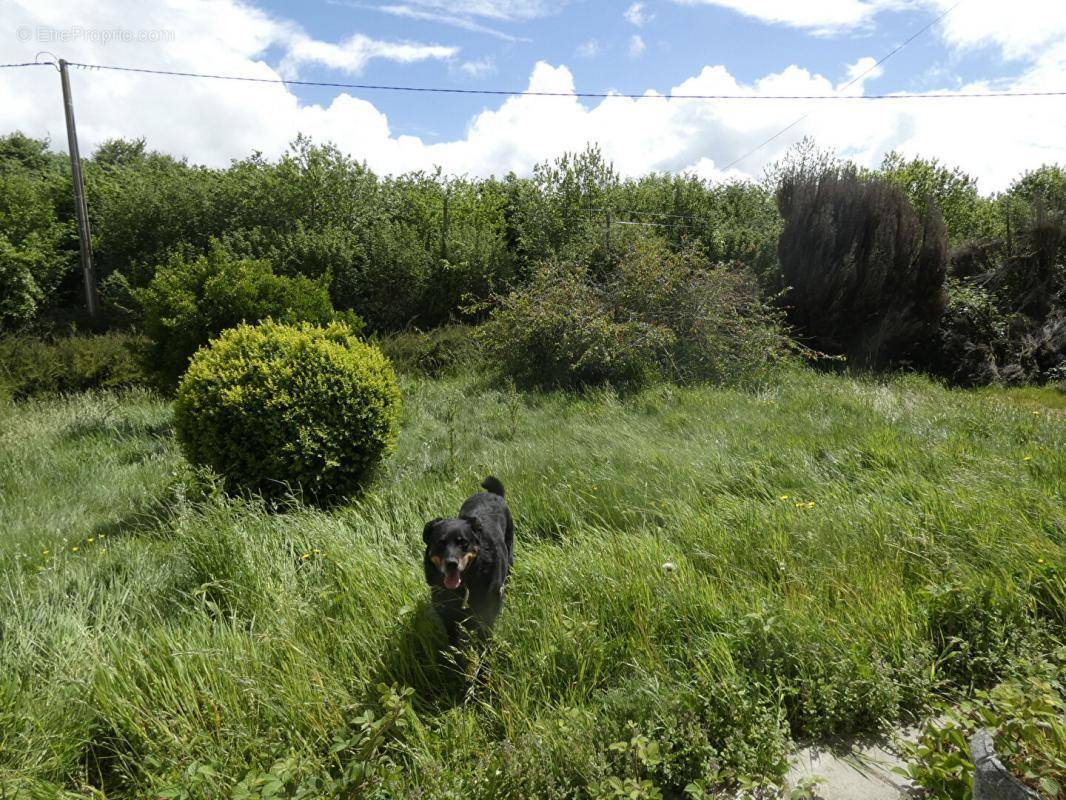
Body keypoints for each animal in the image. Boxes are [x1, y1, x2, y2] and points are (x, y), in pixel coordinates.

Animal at [422, 480, 513, 648]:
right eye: (440, 543)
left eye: (463, 542)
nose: (451, 563)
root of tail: (493, 493)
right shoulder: (447, 615)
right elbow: (453, 643)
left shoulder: (485, 615)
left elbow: (484, 641)